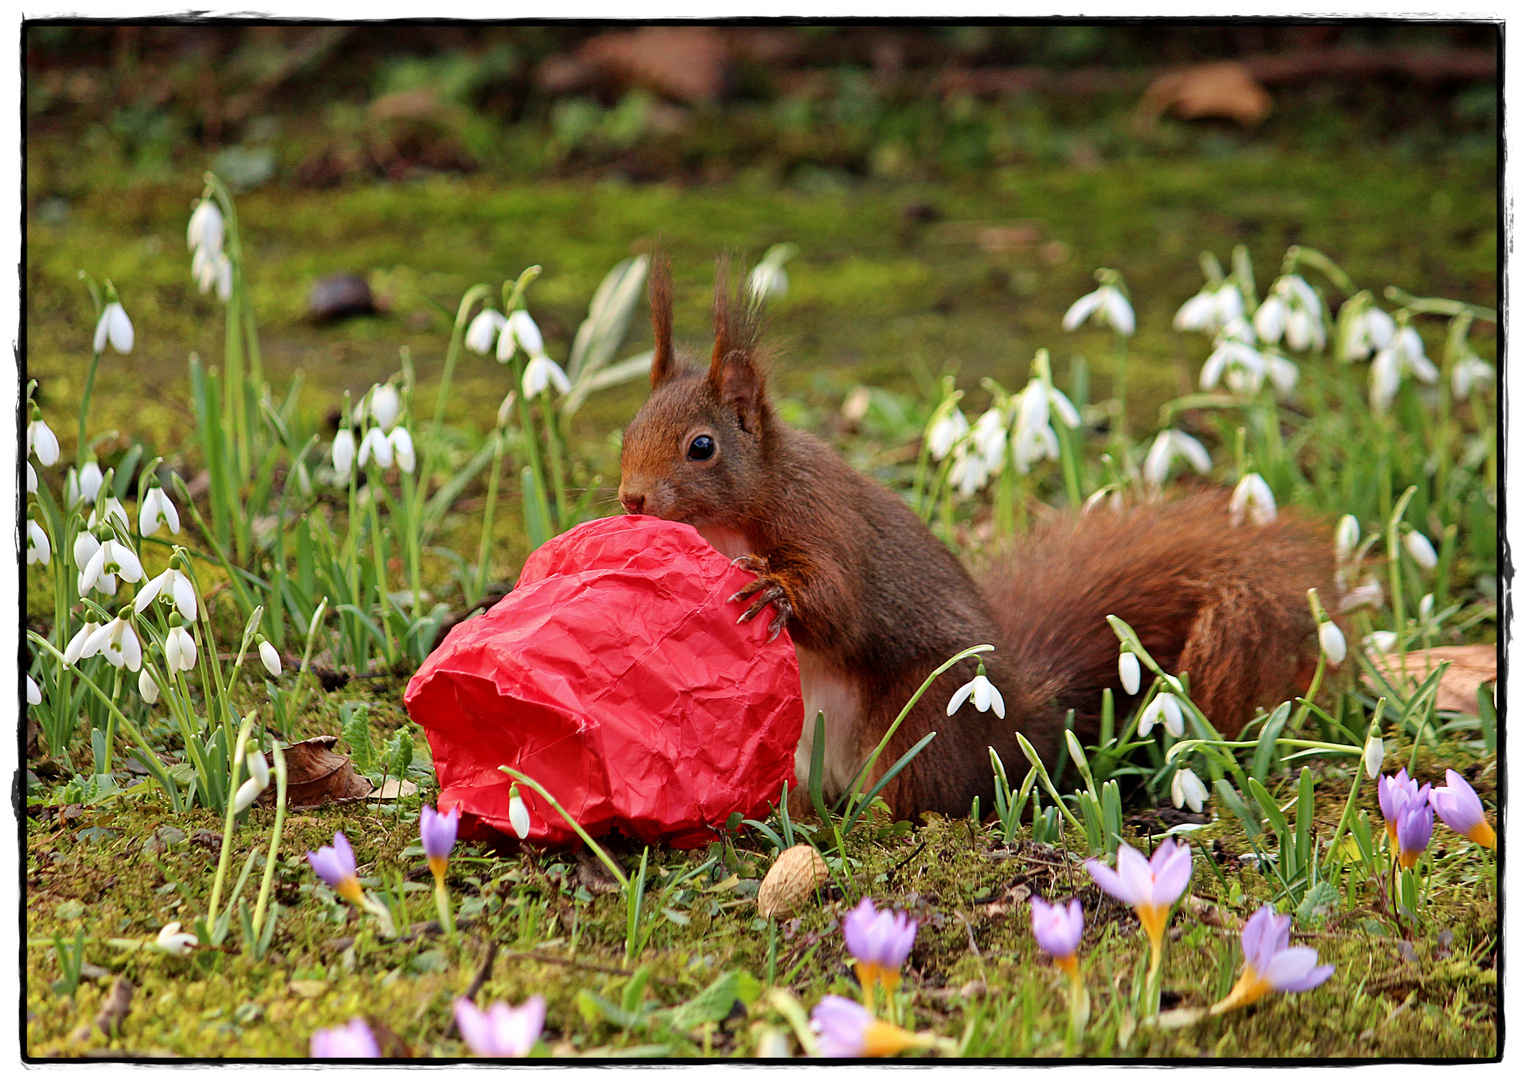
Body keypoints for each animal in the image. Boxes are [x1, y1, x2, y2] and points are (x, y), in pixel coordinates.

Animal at [612, 258, 1341, 816]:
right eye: (628, 430)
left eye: (701, 447)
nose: (631, 499)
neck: (732, 520)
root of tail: (1023, 722)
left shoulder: (820, 520)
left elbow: (837, 600)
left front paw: (776, 592)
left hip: (928, 715)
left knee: (923, 793)